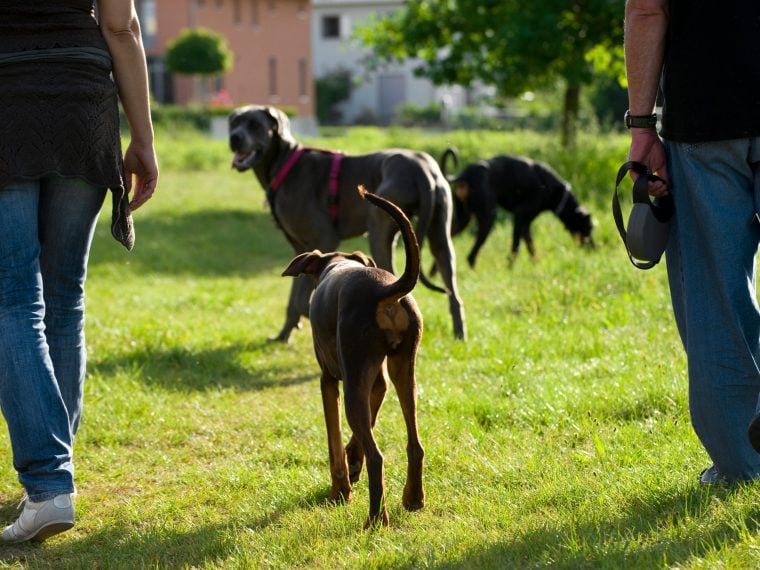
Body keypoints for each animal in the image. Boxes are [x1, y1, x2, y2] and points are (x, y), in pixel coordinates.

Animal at [282, 187, 424, 528]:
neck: (336, 264)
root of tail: (386, 291)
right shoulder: (377, 382)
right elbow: (366, 425)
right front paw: (352, 461)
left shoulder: (329, 381)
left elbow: (334, 443)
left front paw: (340, 491)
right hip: (404, 372)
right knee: (415, 445)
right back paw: (413, 499)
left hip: (352, 384)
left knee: (378, 456)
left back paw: (375, 519)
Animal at [440, 149, 592, 268]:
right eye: (589, 228)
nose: (594, 249)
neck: (554, 189)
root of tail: (465, 175)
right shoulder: (519, 217)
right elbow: (516, 247)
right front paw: (510, 269)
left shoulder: (526, 224)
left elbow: (531, 247)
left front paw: (536, 265)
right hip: (488, 219)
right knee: (471, 257)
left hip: (463, 220)